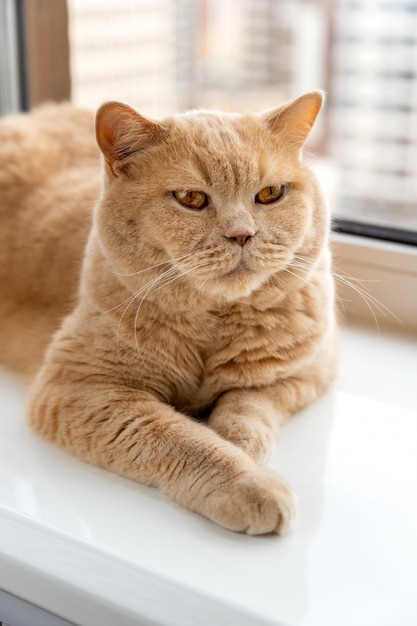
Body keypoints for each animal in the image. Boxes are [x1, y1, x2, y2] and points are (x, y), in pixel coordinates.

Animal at [0, 91, 334, 532]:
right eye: (191, 199)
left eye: (270, 194)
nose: (242, 235)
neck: (214, 323)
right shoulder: (79, 388)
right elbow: (183, 439)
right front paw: (247, 482)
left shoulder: (306, 371)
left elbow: (248, 407)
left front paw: (237, 441)